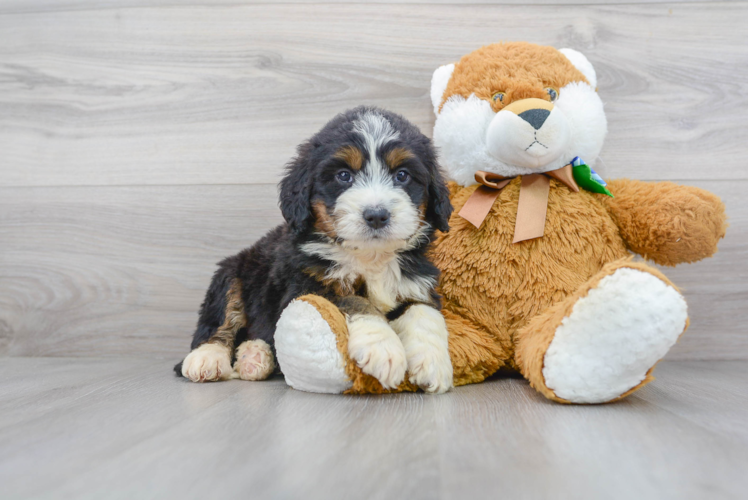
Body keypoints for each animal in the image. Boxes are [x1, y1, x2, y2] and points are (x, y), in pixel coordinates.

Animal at [175, 106, 452, 394]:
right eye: (344, 176)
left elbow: (425, 312)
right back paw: (208, 359)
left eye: (402, 175)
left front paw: (432, 362)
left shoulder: (416, 282)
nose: (376, 215)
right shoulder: (306, 284)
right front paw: (383, 349)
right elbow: (356, 301)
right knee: (219, 323)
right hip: (231, 273)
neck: (370, 257)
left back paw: (254, 357)